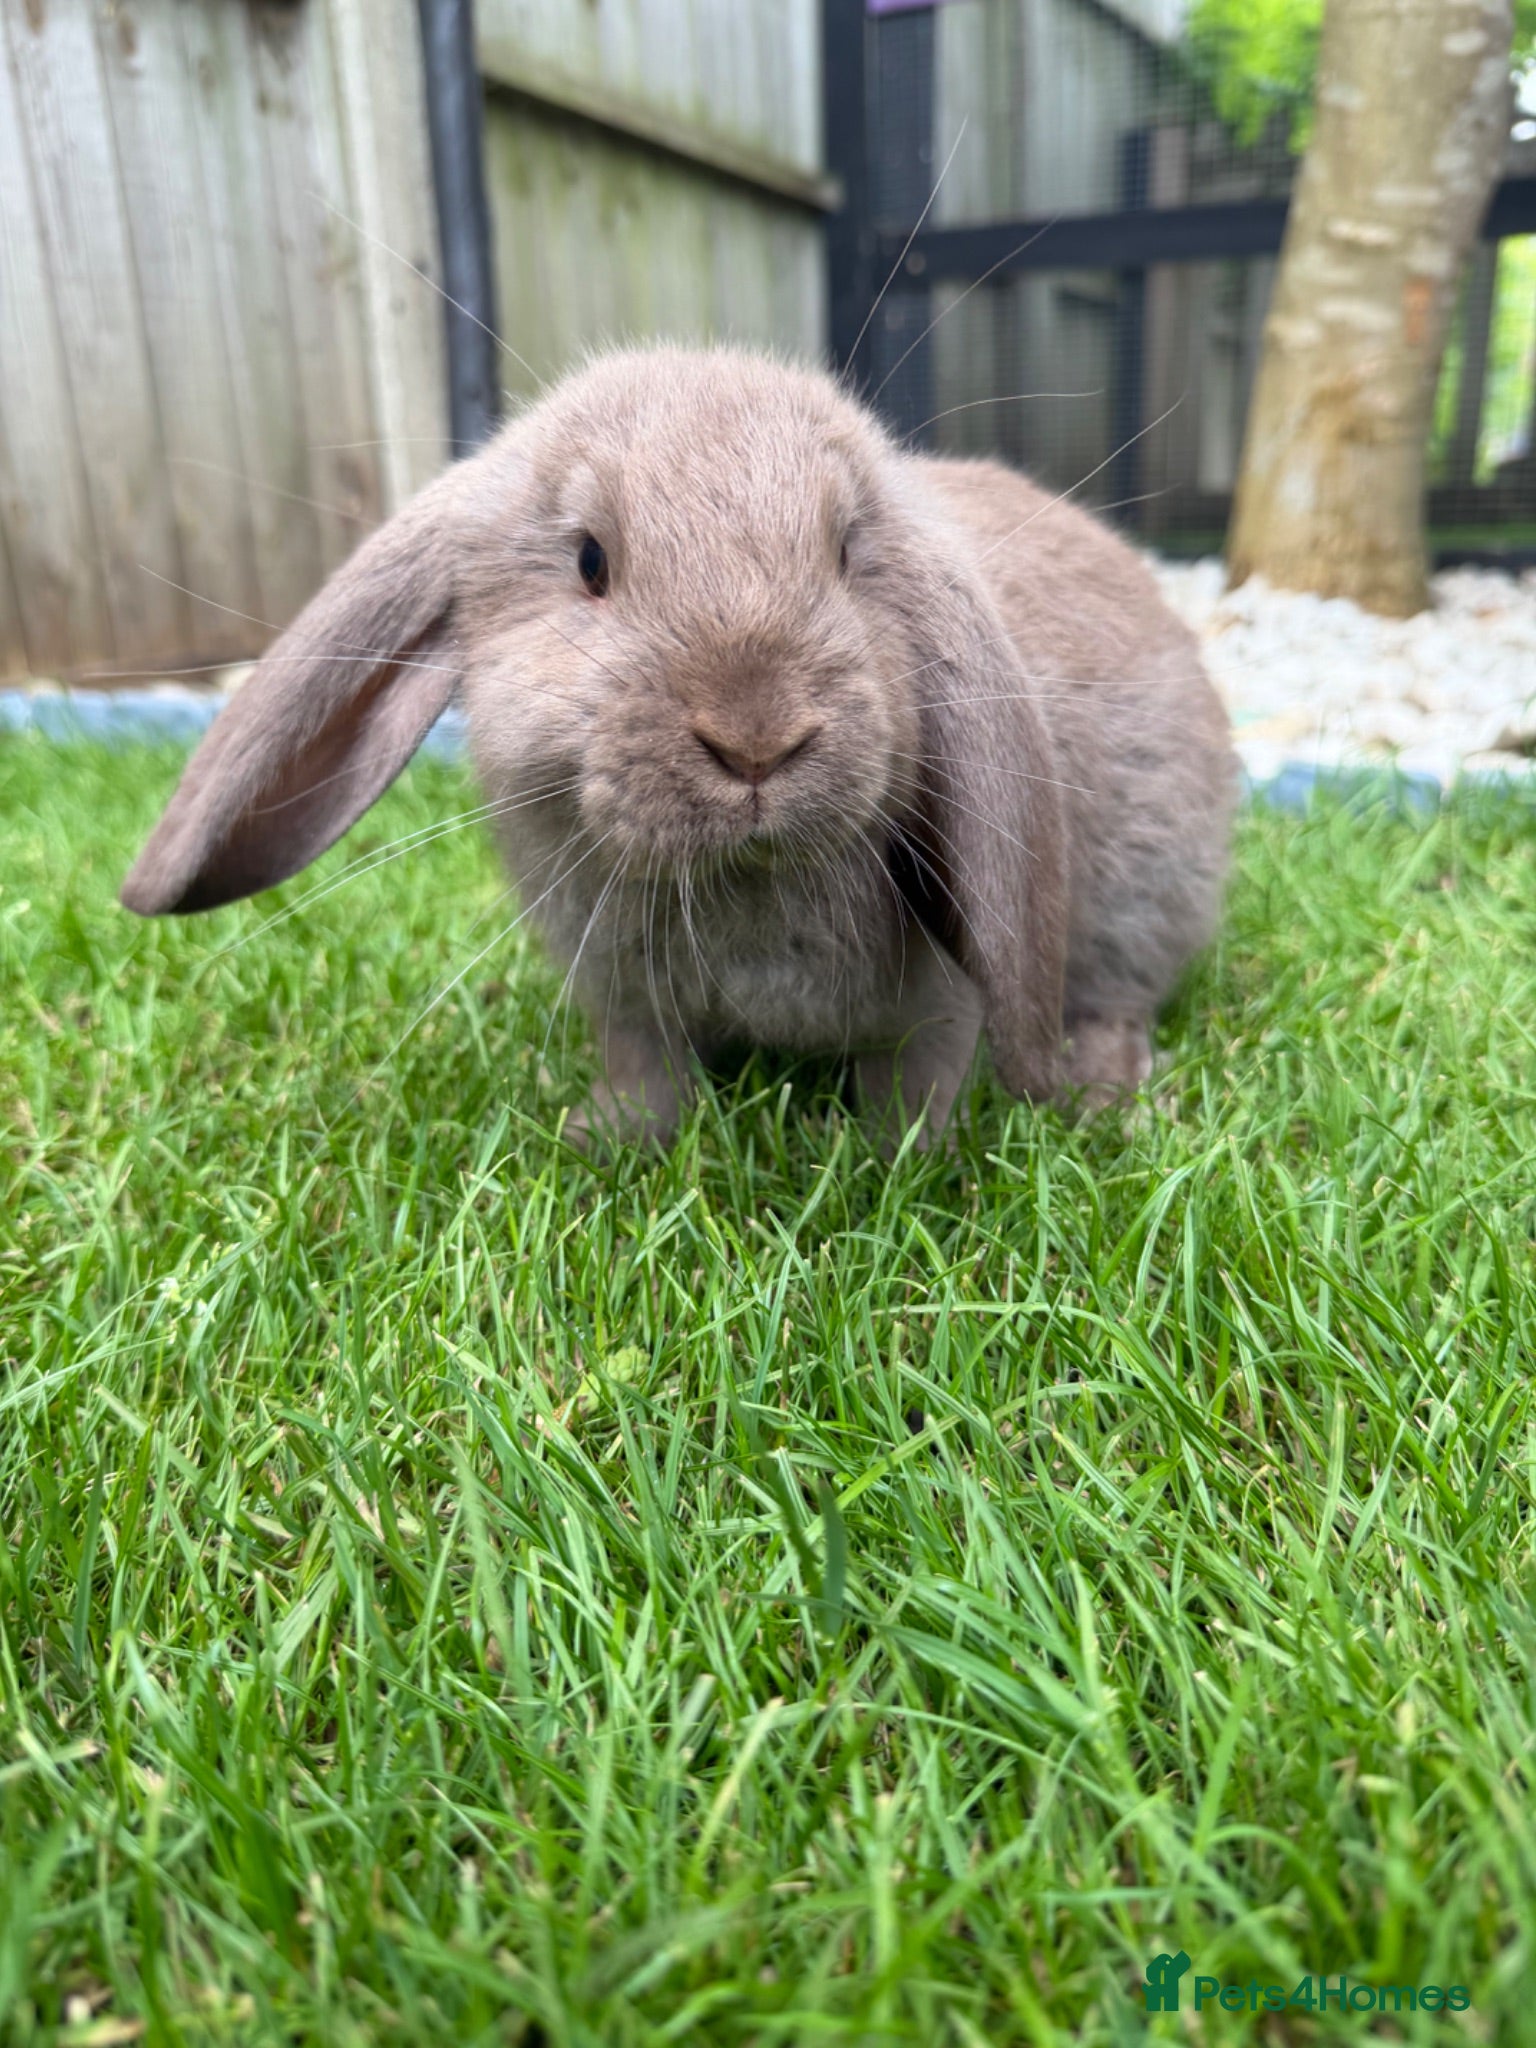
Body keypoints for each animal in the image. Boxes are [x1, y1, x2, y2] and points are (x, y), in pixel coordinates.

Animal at [120, 344, 1237, 1149]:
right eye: (589, 560)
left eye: (848, 553)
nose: (756, 739)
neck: (736, 883)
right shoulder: (622, 1002)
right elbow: (651, 1079)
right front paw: (600, 1137)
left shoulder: (948, 1000)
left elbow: (913, 1091)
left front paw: (885, 1163)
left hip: (1141, 898)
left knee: (1121, 995)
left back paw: (1101, 1089)